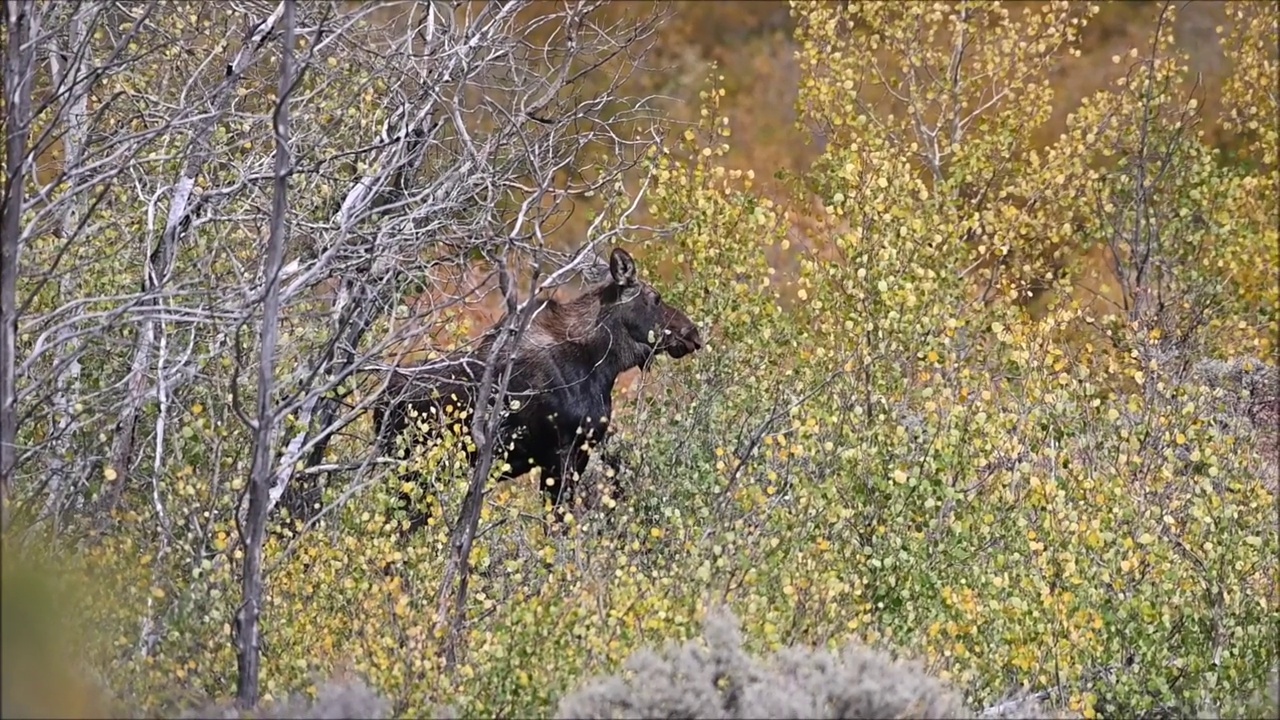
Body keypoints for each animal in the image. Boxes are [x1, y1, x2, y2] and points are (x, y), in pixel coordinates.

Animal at [371, 248, 706, 532]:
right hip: (412, 466)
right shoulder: (563, 453)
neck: (602, 364)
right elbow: (557, 526)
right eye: (655, 298)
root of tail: (380, 405)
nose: (692, 333)